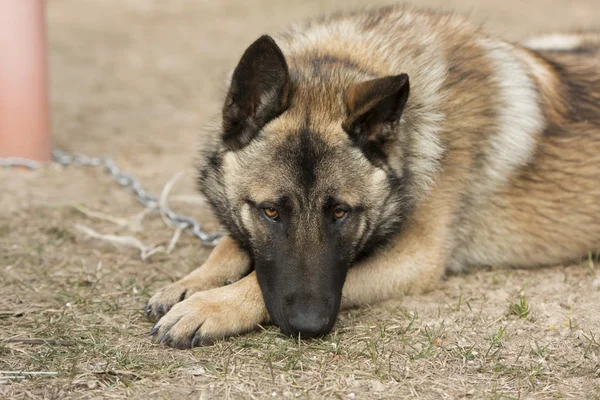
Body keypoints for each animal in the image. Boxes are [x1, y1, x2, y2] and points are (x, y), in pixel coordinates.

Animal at [144, 3, 600, 346]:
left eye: (340, 212)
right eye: (271, 211)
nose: (310, 326)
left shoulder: (413, 259)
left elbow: (257, 278)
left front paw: (211, 306)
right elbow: (229, 243)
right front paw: (193, 282)